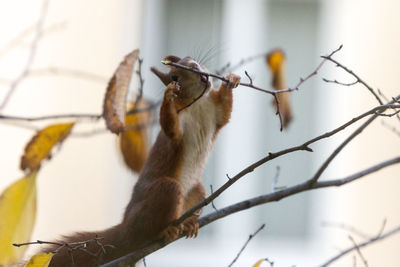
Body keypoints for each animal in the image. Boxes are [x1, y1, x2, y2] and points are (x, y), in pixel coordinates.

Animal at [41, 55, 241, 266]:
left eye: (191, 59)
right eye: (174, 77)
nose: (195, 66)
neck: (198, 104)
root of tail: (125, 229)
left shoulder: (215, 113)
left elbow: (225, 113)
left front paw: (232, 79)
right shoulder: (178, 128)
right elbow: (171, 128)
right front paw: (168, 95)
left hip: (197, 191)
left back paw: (189, 223)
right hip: (163, 192)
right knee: (150, 227)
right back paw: (164, 230)